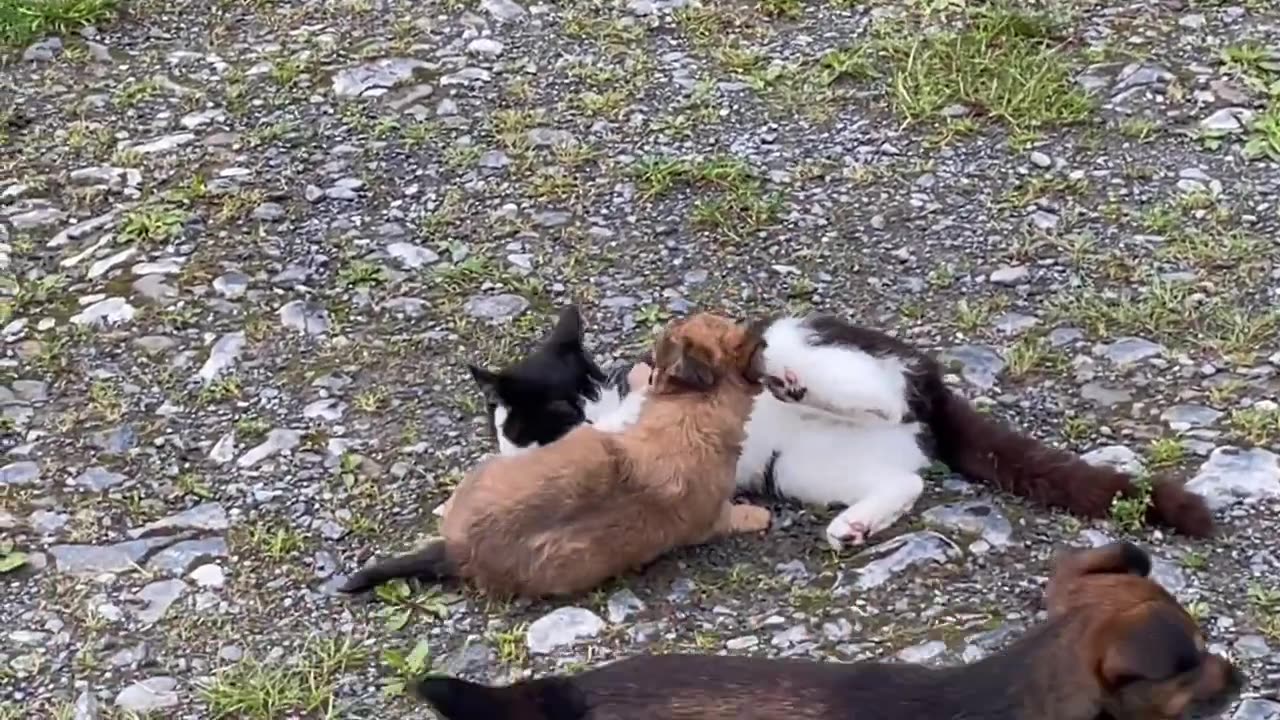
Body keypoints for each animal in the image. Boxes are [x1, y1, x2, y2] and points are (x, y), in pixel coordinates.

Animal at [465, 302, 1213, 543]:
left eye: (598, 383)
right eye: (563, 408)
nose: (602, 406)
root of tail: (935, 383)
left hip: (825, 353)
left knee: (877, 394)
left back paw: (794, 382)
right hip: (803, 467)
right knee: (906, 482)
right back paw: (857, 525)